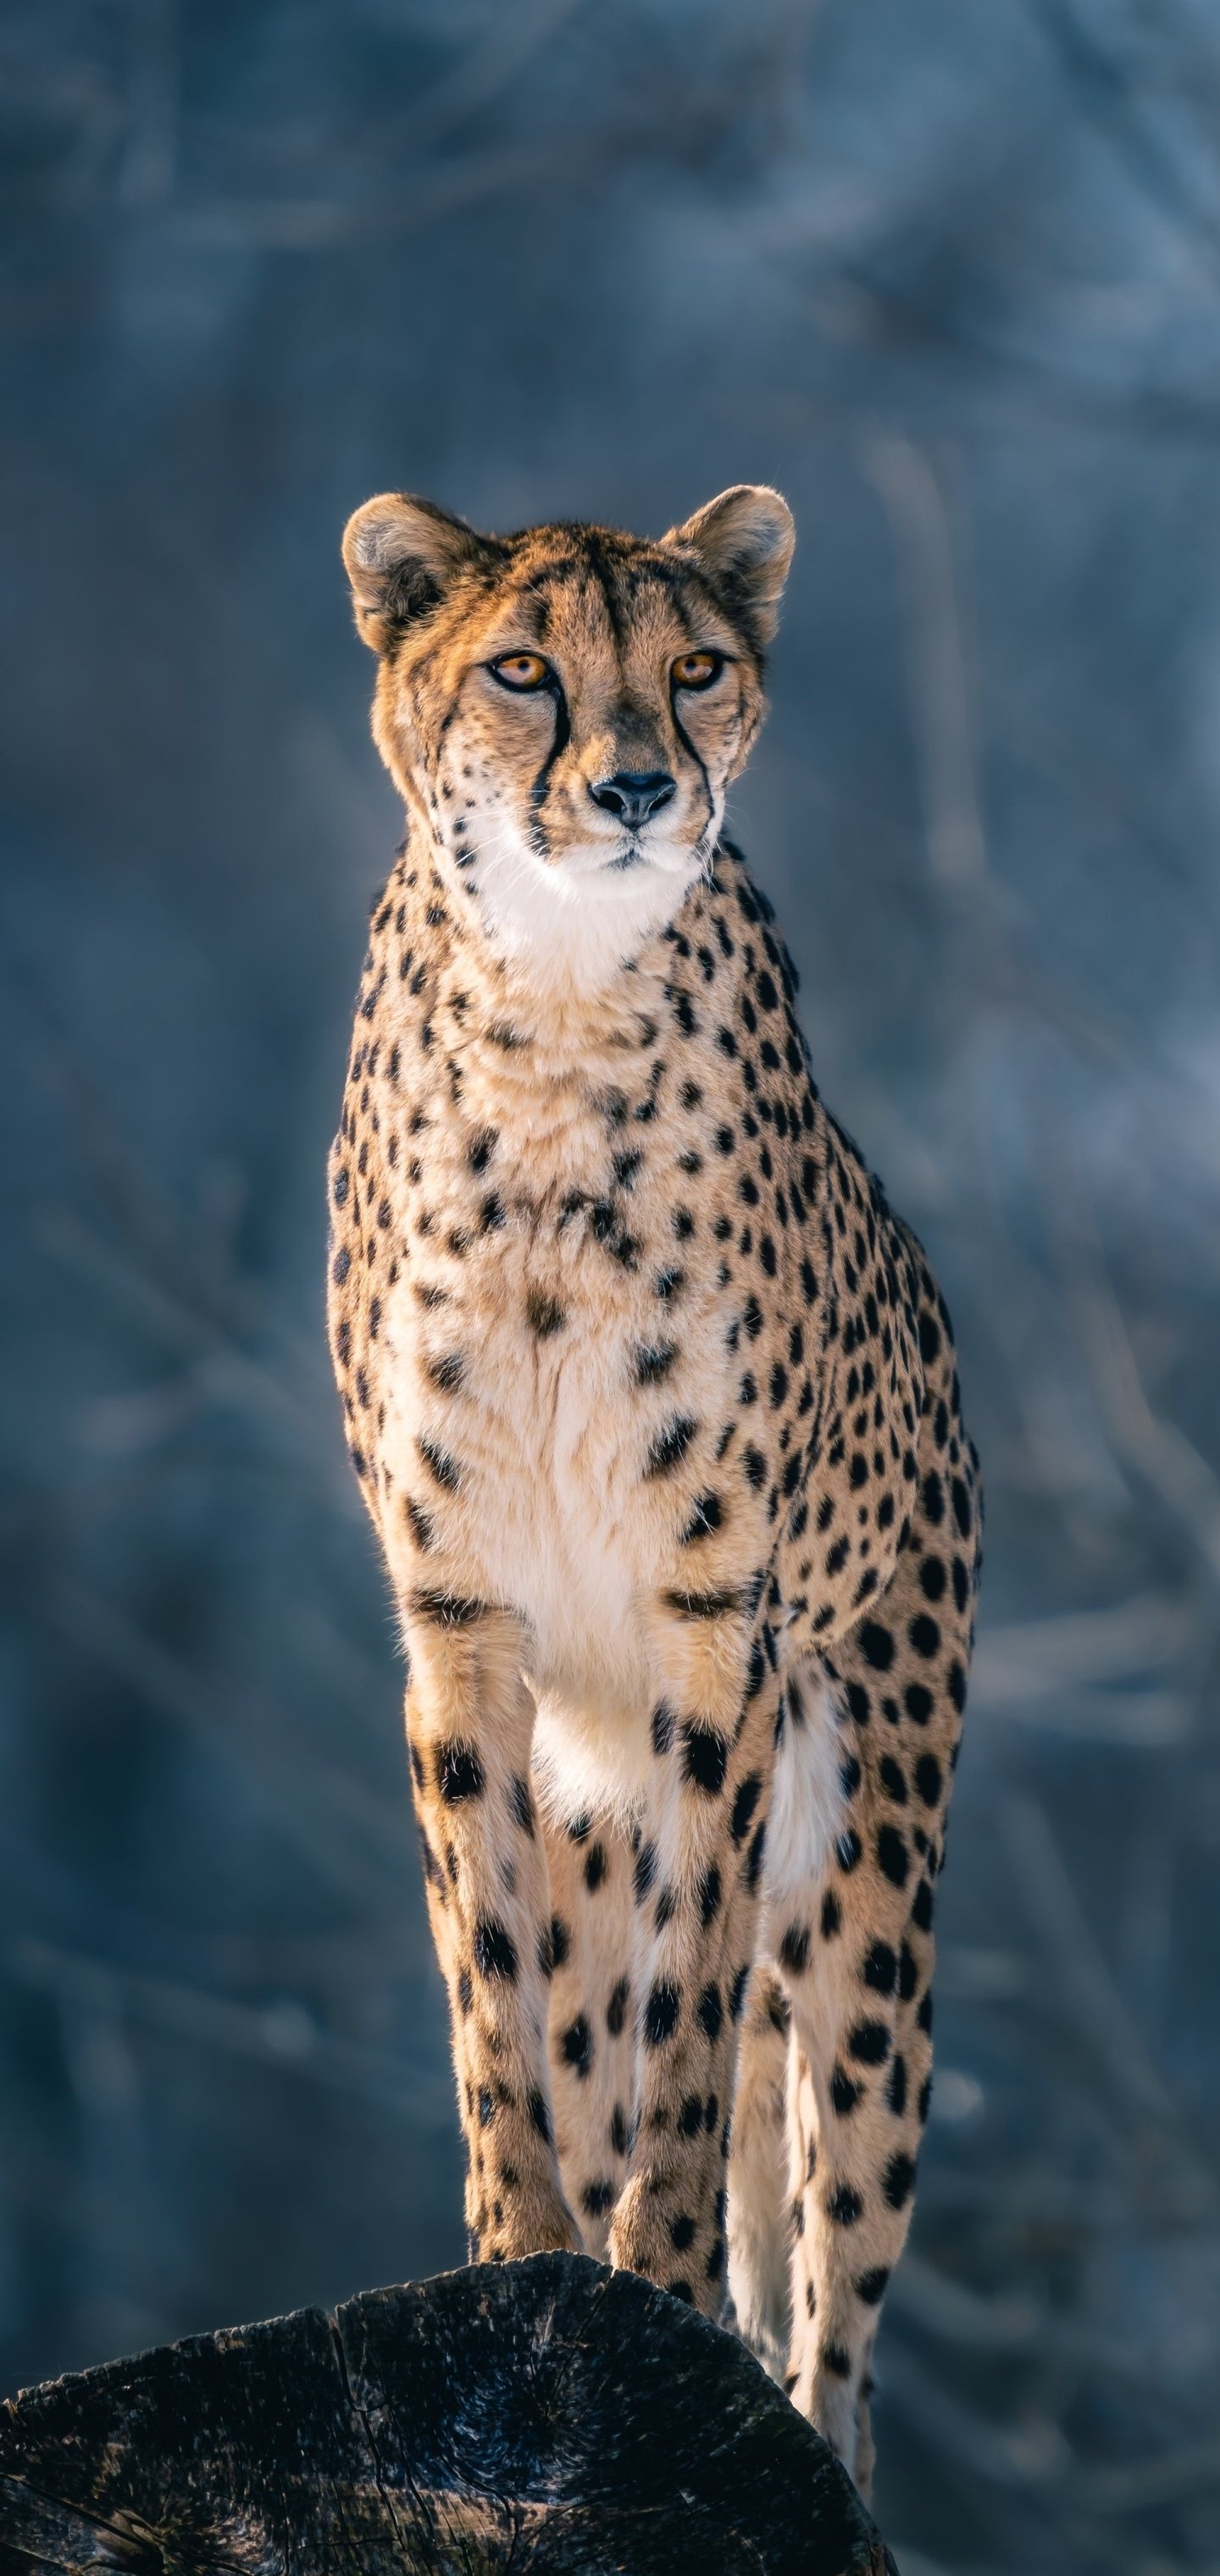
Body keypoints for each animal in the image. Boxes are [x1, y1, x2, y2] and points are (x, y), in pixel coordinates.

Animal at [326, 484, 983, 2493]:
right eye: (523, 670)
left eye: (692, 665)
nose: (633, 786)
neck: (554, 1005)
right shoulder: (464, 1623)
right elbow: (495, 1983)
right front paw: (522, 2253)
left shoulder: (720, 1629)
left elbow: (692, 2013)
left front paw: (660, 2273)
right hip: (600, 1797)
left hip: (871, 1883)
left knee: (839, 2272)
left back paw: (813, 2433)